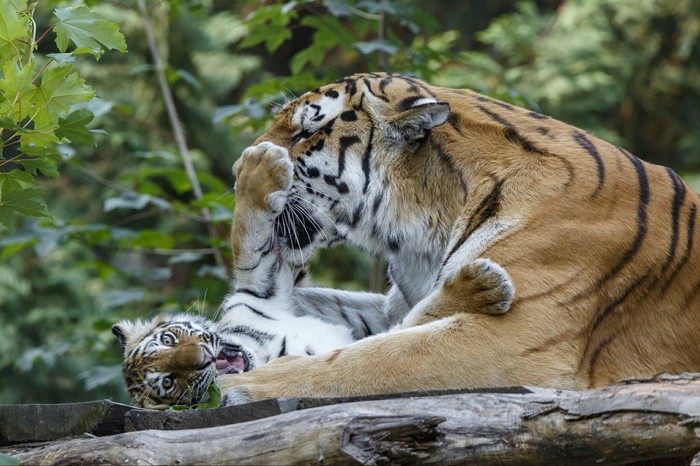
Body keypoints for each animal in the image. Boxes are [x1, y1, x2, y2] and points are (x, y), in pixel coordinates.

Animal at [216, 71, 696, 406]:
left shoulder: (514, 336)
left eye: (306, 132)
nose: (237, 168)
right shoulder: (396, 304)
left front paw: (249, 384)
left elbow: (373, 360)